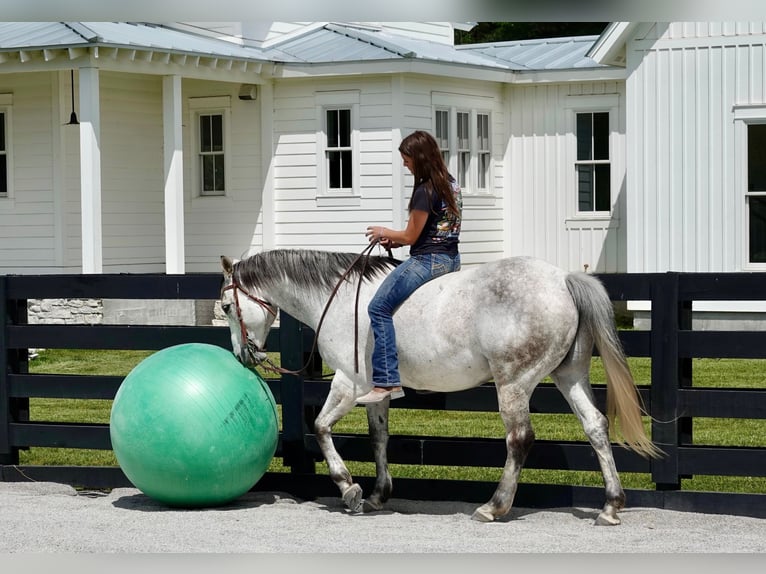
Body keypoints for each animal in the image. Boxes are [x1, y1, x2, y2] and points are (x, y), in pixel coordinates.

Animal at [219, 248, 662, 525]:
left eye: (226, 307)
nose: (242, 355)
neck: (339, 298)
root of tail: (564, 278)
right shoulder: (375, 394)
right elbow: (379, 439)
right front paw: (378, 495)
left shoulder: (347, 383)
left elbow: (322, 428)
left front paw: (349, 489)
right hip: (570, 376)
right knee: (596, 428)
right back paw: (610, 507)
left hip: (513, 383)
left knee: (519, 439)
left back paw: (494, 506)